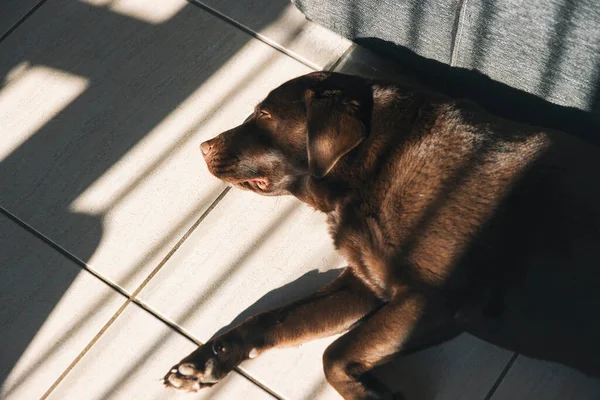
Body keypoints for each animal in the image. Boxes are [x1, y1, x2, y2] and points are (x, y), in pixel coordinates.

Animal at [163, 70, 600, 398]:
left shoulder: (430, 300)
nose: (202, 146)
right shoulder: (364, 284)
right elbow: (273, 318)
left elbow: (333, 356)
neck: (371, 166)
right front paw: (207, 360)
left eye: (265, 114)